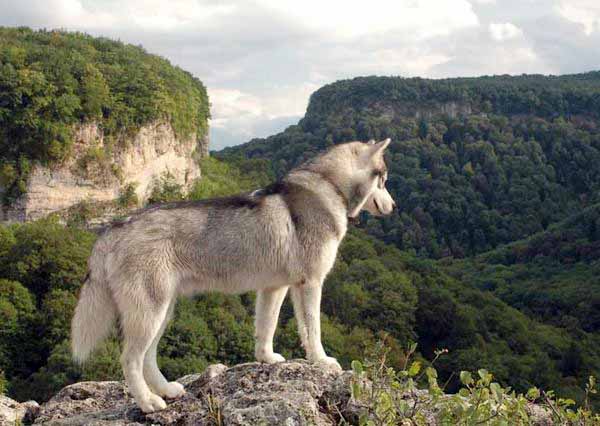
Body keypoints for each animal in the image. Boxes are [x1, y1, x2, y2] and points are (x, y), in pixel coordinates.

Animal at [71, 140, 394, 412]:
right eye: (384, 181)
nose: (394, 206)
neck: (329, 187)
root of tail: (112, 228)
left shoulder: (274, 287)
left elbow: (266, 327)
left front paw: (266, 358)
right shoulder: (310, 283)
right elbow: (312, 330)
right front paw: (321, 361)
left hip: (161, 312)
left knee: (147, 358)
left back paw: (165, 390)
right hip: (149, 314)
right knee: (130, 359)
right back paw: (148, 402)